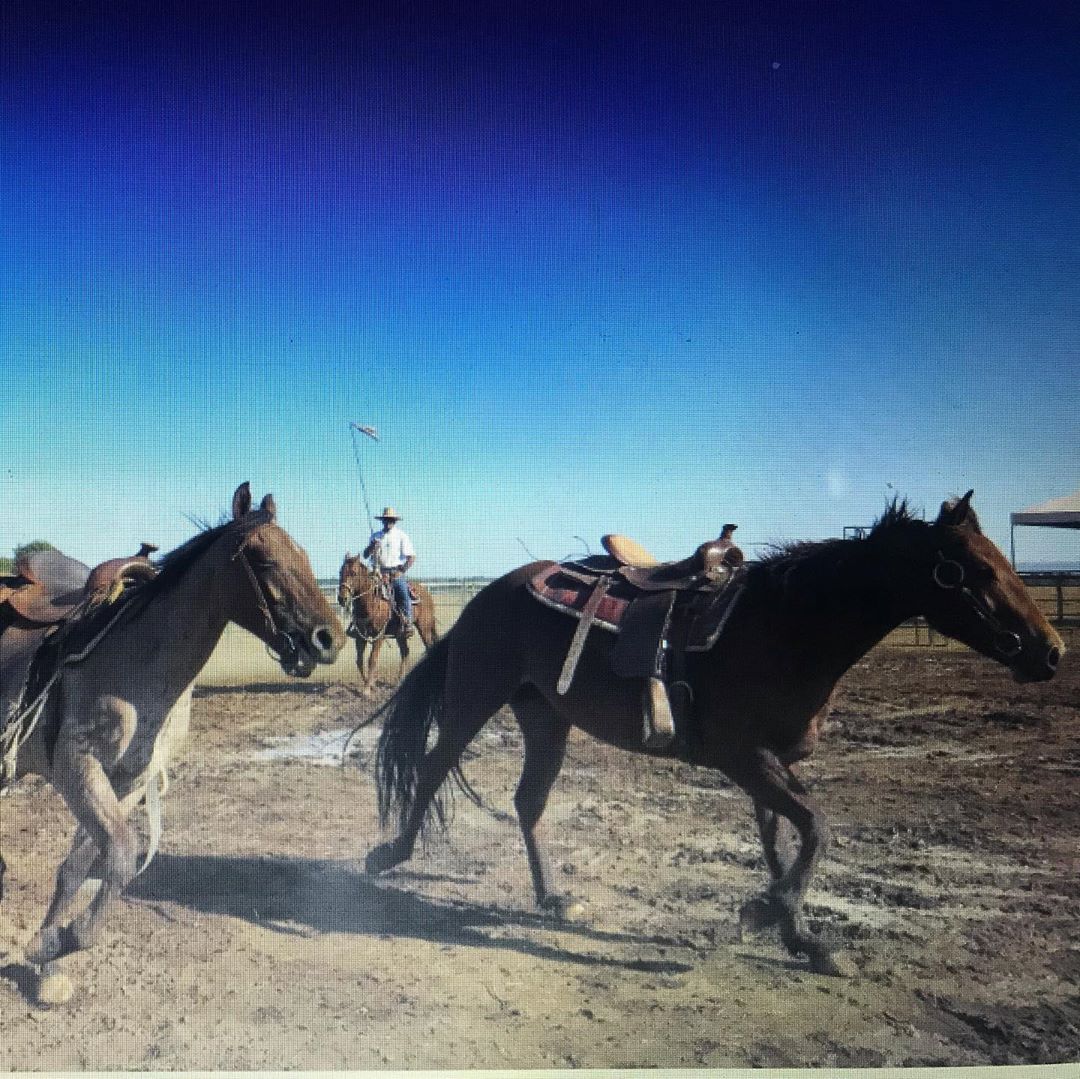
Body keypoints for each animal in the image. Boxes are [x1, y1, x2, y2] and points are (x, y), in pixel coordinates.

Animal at [0, 486, 343, 967]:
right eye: (264, 561)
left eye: (305, 555)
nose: (330, 639)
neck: (136, 665)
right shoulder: (77, 767)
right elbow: (122, 854)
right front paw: (65, 938)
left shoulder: (129, 780)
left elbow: (83, 865)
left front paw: (45, 942)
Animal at [336, 553, 438, 695]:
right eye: (340, 572)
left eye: (353, 573)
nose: (342, 598)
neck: (370, 602)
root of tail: (426, 592)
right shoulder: (360, 637)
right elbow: (359, 661)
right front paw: (372, 685)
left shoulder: (379, 636)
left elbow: (372, 660)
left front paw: (366, 690)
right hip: (401, 634)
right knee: (405, 652)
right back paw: (399, 680)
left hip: (424, 627)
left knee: (428, 646)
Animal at [365, 494, 1062, 980]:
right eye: (973, 568)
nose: (1051, 652)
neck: (783, 629)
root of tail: (486, 597)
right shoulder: (744, 758)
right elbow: (816, 828)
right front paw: (769, 913)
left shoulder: (768, 764)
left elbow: (781, 838)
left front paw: (799, 936)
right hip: (473, 698)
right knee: (433, 767)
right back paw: (390, 855)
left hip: (547, 718)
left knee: (528, 801)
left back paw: (554, 899)